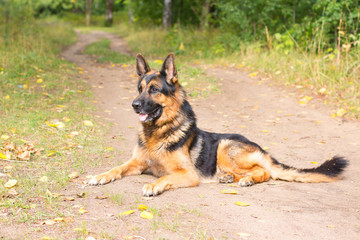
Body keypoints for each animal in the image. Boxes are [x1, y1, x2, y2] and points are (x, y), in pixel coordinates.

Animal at [88, 53, 348, 196]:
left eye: (154, 90)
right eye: (139, 88)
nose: (134, 105)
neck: (158, 132)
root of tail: (262, 149)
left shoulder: (187, 174)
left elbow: (163, 178)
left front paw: (154, 186)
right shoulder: (136, 163)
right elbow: (116, 168)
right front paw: (101, 175)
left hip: (225, 146)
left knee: (265, 172)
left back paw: (246, 180)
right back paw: (227, 178)